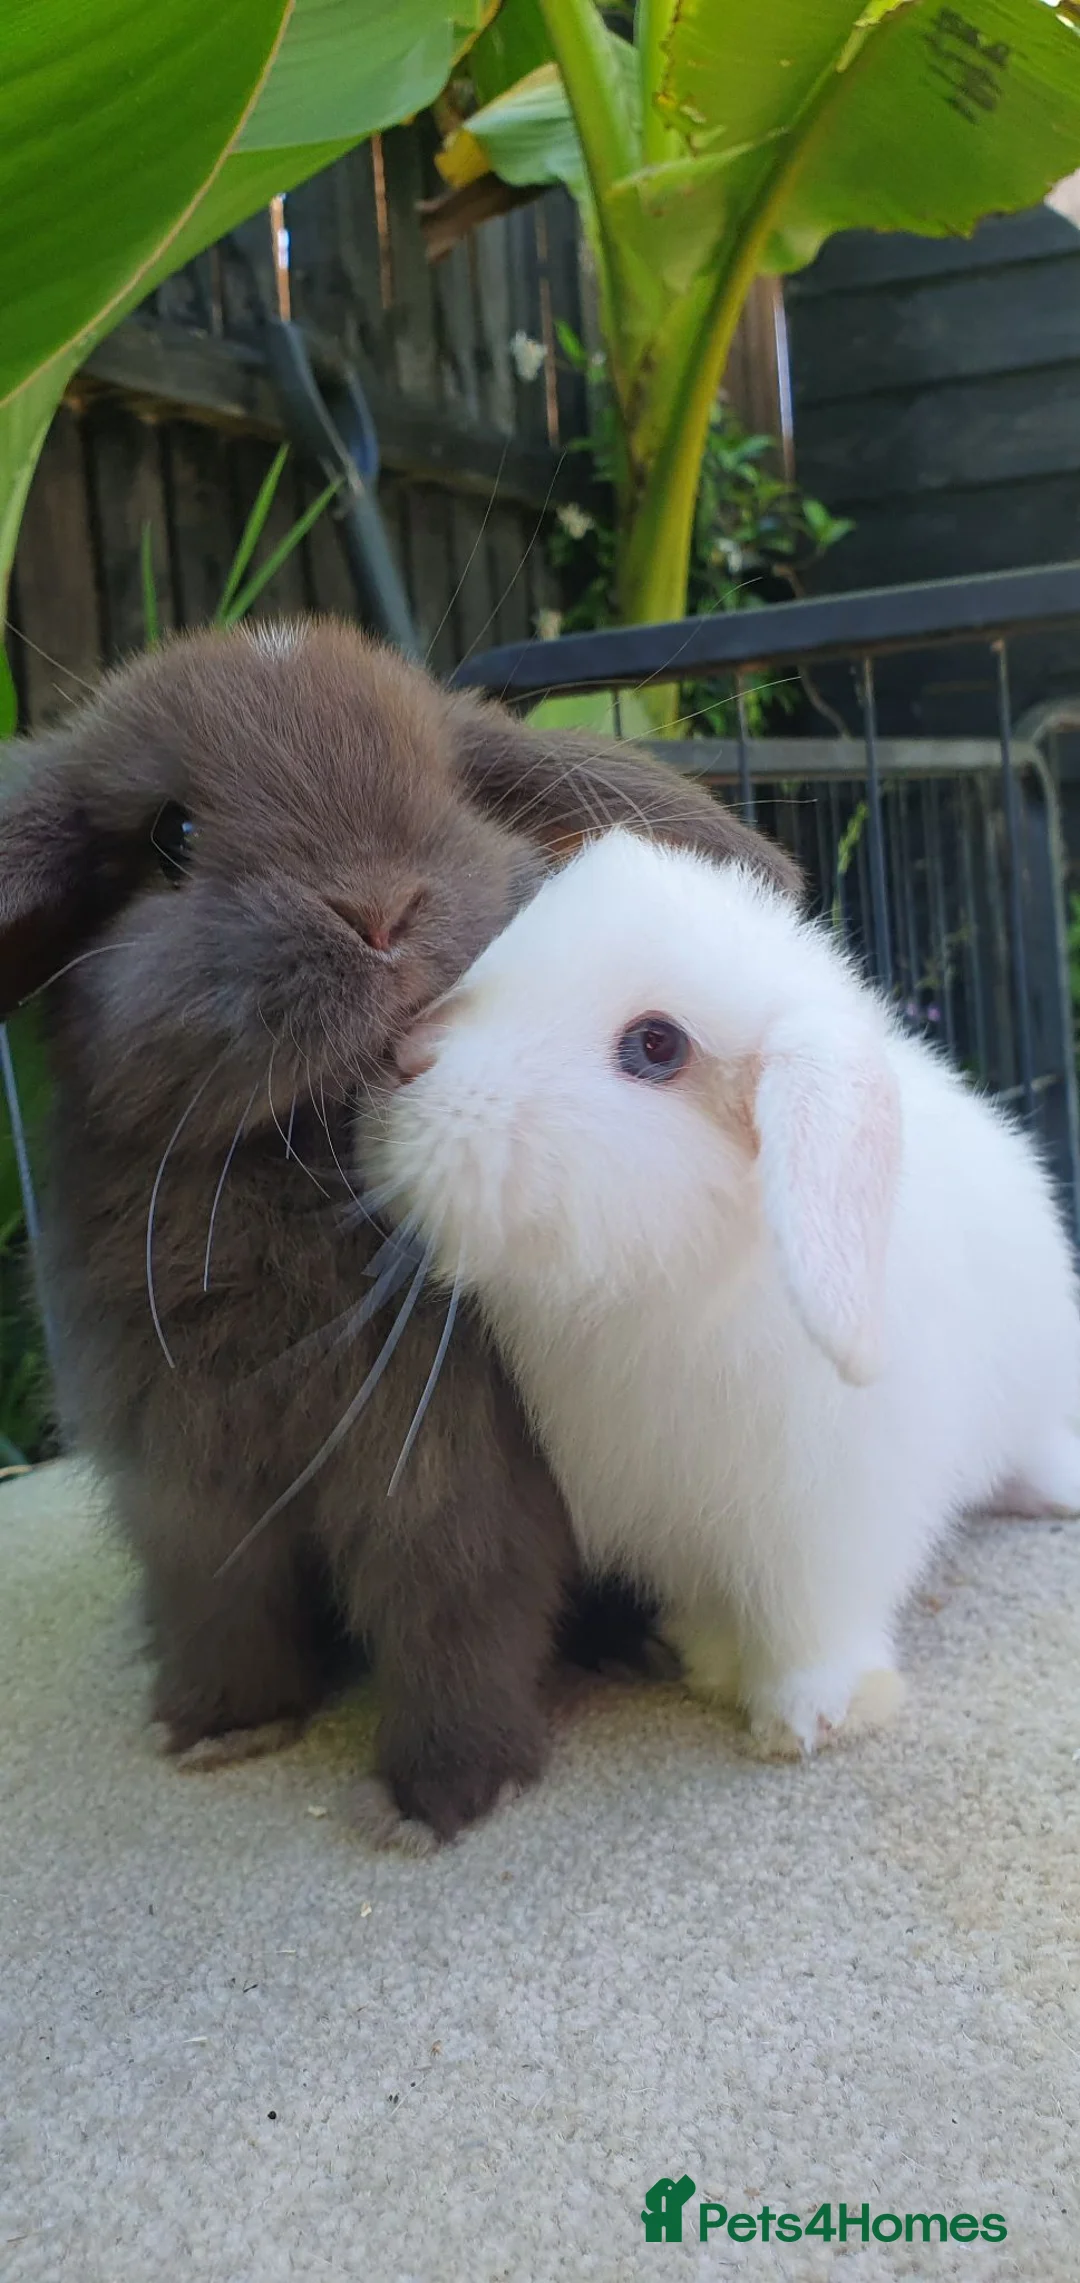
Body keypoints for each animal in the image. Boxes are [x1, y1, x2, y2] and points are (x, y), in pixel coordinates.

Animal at [0, 619, 800, 1840]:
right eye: (172, 835)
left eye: (451, 791)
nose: (378, 909)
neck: (296, 1157)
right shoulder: (181, 1481)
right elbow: (218, 1601)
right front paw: (217, 1729)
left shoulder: (452, 1482)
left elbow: (454, 1615)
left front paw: (444, 1796)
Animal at [377, 826, 1080, 1758]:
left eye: (656, 1046)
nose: (405, 1054)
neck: (671, 1285)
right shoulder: (674, 1519)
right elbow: (713, 1605)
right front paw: (708, 1665)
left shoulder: (834, 1518)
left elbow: (813, 1621)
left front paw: (808, 1718)